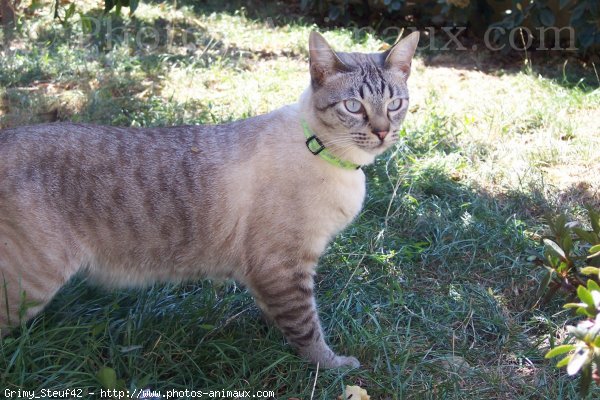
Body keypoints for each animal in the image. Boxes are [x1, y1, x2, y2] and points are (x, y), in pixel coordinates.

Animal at [0, 31, 420, 368]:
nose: (382, 132)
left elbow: (279, 317)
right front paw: (334, 367)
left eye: (395, 104)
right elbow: (307, 329)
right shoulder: (285, 267)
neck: (336, 159)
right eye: (353, 107)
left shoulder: (268, 274)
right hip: (29, 286)